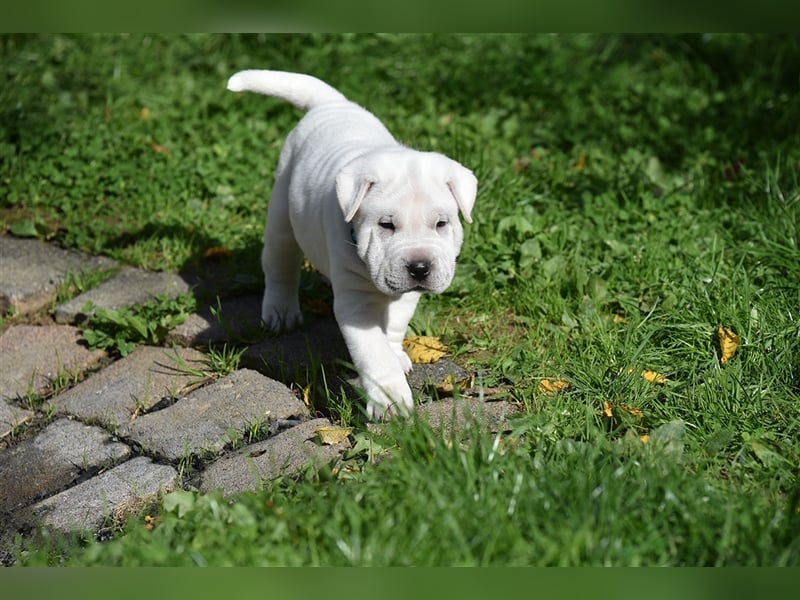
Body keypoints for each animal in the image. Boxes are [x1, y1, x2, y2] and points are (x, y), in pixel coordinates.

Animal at [227, 69, 476, 418]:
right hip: (281, 216)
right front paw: (390, 401)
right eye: (386, 224)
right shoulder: (355, 303)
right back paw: (280, 312)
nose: (420, 267)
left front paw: (395, 353)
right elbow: (374, 352)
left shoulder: (405, 295)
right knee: (280, 266)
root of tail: (332, 103)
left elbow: (394, 326)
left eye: (442, 224)